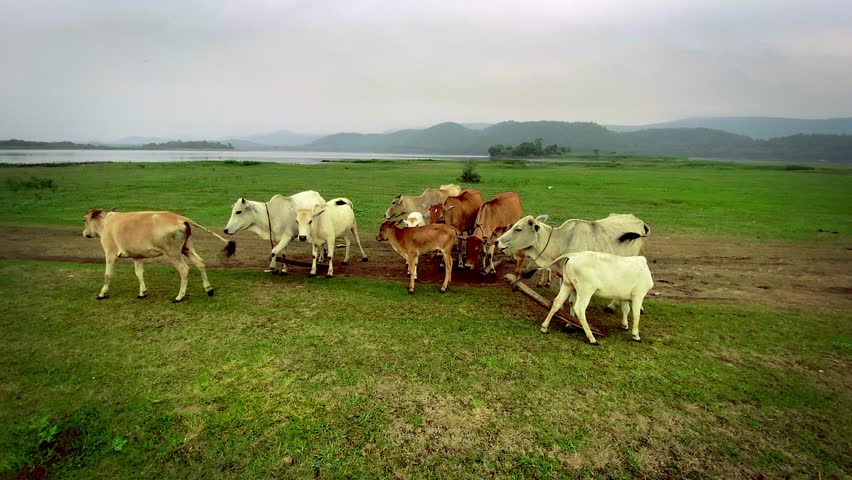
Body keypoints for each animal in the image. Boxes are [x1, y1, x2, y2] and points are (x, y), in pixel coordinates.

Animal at [82, 209, 236, 302]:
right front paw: (142, 292)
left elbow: (107, 275)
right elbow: (139, 273)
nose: (84, 233)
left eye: (85, 220)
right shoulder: (137, 257)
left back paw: (179, 296)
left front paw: (102, 293)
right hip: (186, 248)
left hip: (173, 253)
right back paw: (209, 289)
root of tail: (180, 218)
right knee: (200, 263)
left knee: (184, 269)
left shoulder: (110, 254)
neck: (106, 224)